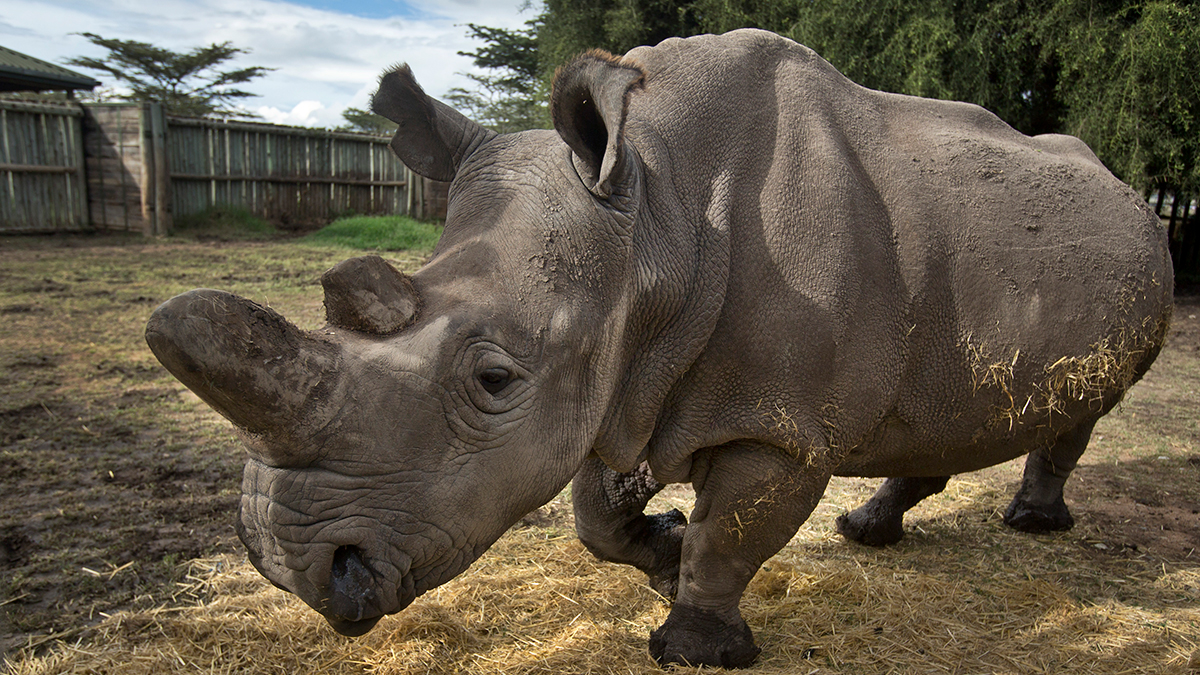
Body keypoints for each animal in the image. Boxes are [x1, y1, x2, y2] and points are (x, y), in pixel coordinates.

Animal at [147, 30, 1171, 662]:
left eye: (493, 378)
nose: (291, 566)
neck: (658, 219)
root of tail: (1125, 185)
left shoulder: (778, 423)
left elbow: (735, 529)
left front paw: (694, 644)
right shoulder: (624, 374)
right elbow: (595, 516)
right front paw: (662, 553)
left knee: (1085, 408)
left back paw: (1031, 523)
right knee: (928, 413)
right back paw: (868, 531)